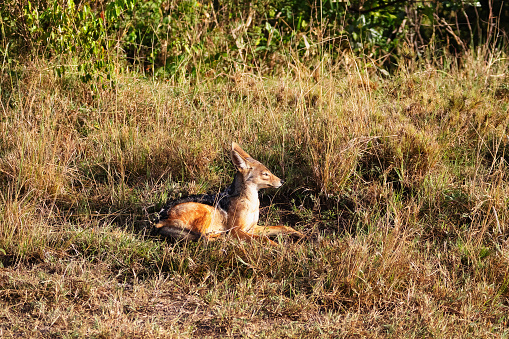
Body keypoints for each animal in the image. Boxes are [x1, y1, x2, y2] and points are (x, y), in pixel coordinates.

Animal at [155, 142, 304, 246]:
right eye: (265, 174)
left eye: (269, 172)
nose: (282, 181)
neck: (251, 203)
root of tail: (158, 220)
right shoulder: (237, 230)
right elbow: (264, 239)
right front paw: (279, 247)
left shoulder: (252, 228)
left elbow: (283, 226)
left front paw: (301, 235)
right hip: (207, 212)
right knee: (205, 238)